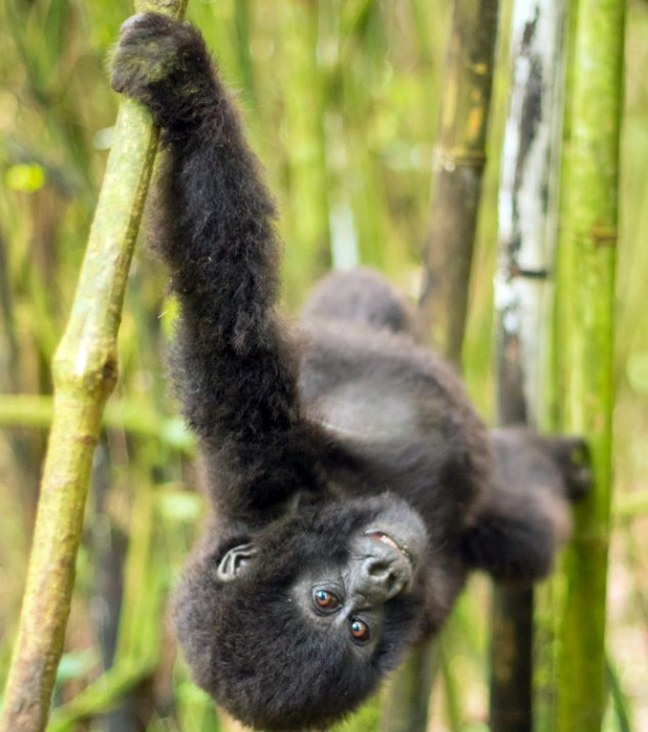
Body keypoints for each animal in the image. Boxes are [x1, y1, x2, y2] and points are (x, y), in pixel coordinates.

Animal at [112, 15, 592, 732]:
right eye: (345, 617)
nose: (382, 576)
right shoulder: (435, 594)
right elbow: (526, 528)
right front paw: (550, 463)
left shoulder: (259, 465)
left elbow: (226, 314)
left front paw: (181, 81)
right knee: (522, 522)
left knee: (360, 302)